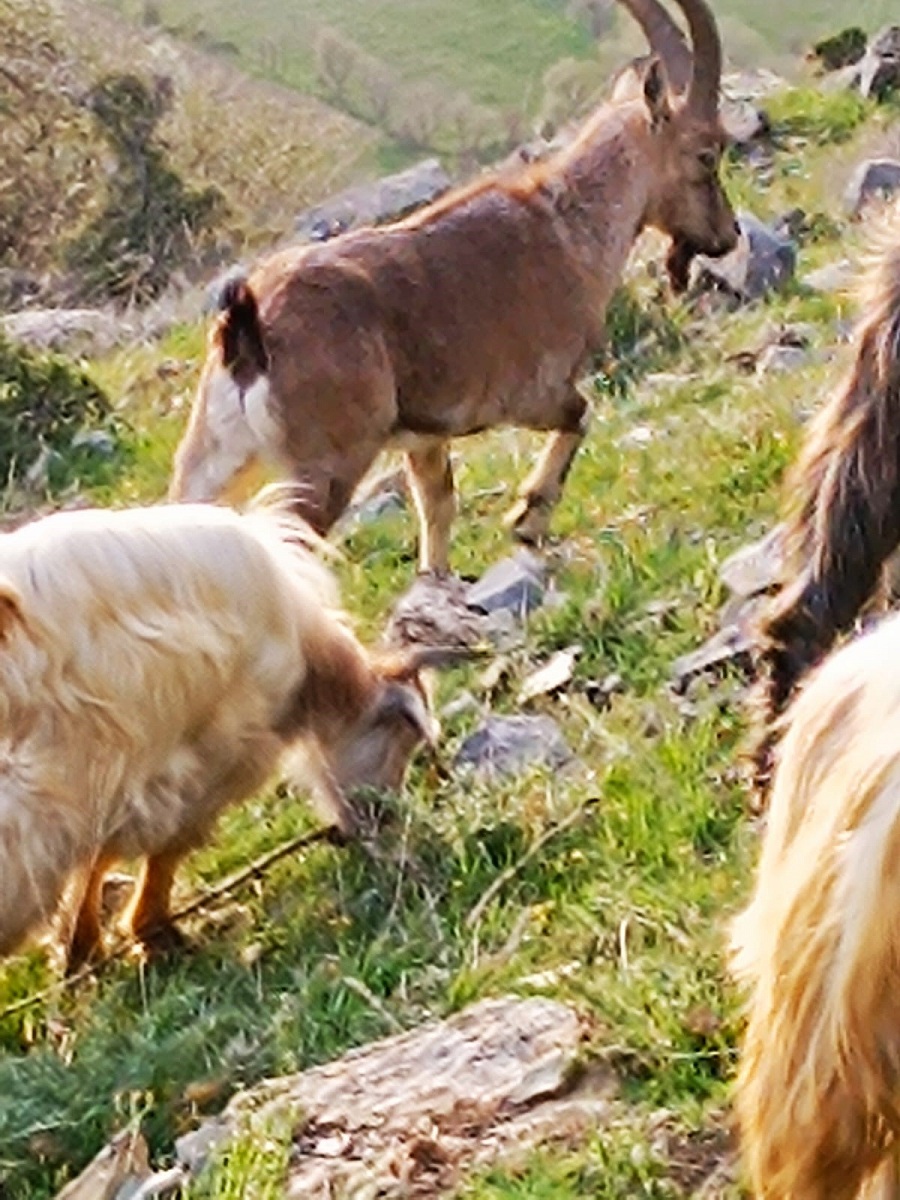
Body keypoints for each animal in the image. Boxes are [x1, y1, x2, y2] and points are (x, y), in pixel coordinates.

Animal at [170, 0, 739, 573]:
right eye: (707, 153)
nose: (729, 234)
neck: (570, 225)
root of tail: (248, 331)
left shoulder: (424, 438)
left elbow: (437, 507)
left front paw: (440, 579)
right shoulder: (529, 391)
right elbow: (580, 415)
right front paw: (528, 517)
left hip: (211, 459)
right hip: (327, 463)